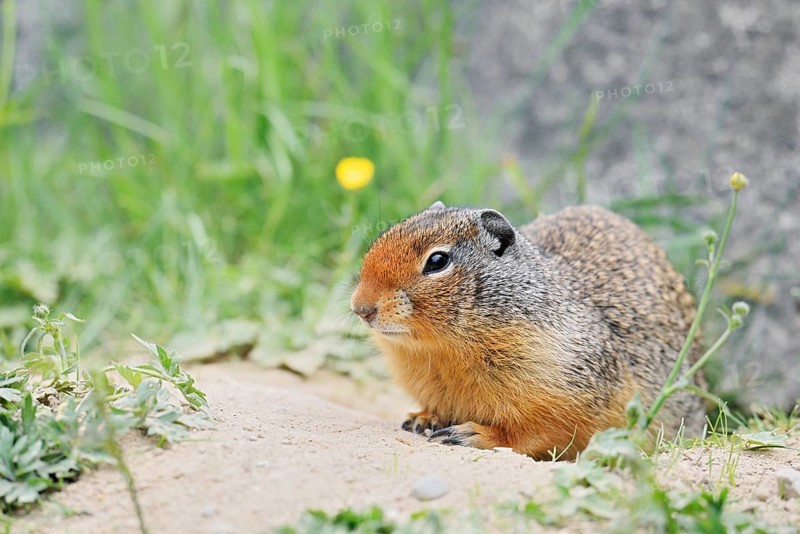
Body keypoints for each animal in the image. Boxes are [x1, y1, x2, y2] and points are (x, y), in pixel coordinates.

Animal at [351, 201, 706, 460]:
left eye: (437, 261)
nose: (361, 307)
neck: (444, 350)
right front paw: (423, 418)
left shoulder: (568, 393)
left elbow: (537, 433)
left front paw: (471, 434)